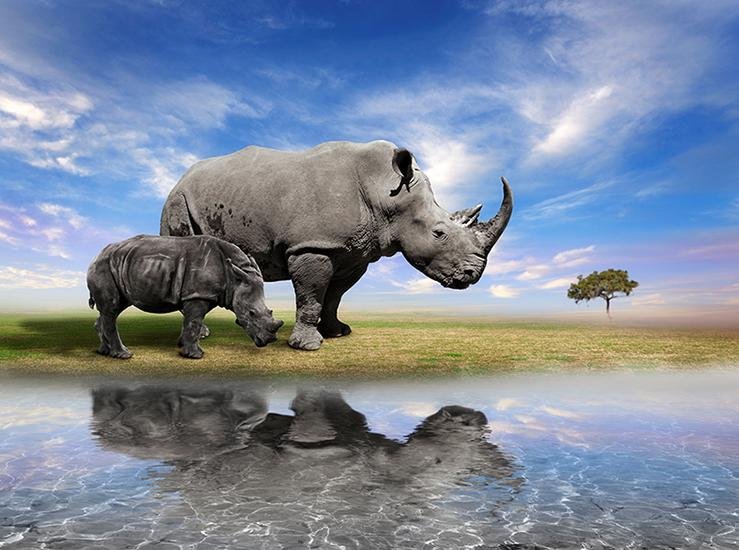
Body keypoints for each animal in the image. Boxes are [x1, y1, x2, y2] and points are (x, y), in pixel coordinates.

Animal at [86, 234, 283, 359]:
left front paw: (182, 345)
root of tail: (95, 256)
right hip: (103, 267)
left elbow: (189, 322)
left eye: (270, 311)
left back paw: (105, 352)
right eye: (251, 313)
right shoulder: (198, 295)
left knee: (113, 308)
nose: (269, 341)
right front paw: (196, 355)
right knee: (111, 309)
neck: (234, 278)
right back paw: (124, 355)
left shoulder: (197, 295)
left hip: (119, 265)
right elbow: (194, 322)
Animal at [160, 140, 512, 350]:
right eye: (439, 233)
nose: (472, 274)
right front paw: (308, 346)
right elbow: (312, 296)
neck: (387, 193)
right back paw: (202, 336)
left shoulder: (354, 254)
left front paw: (338, 332)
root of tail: (181, 177)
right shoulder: (312, 246)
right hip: (178, 199)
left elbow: (333, 297)